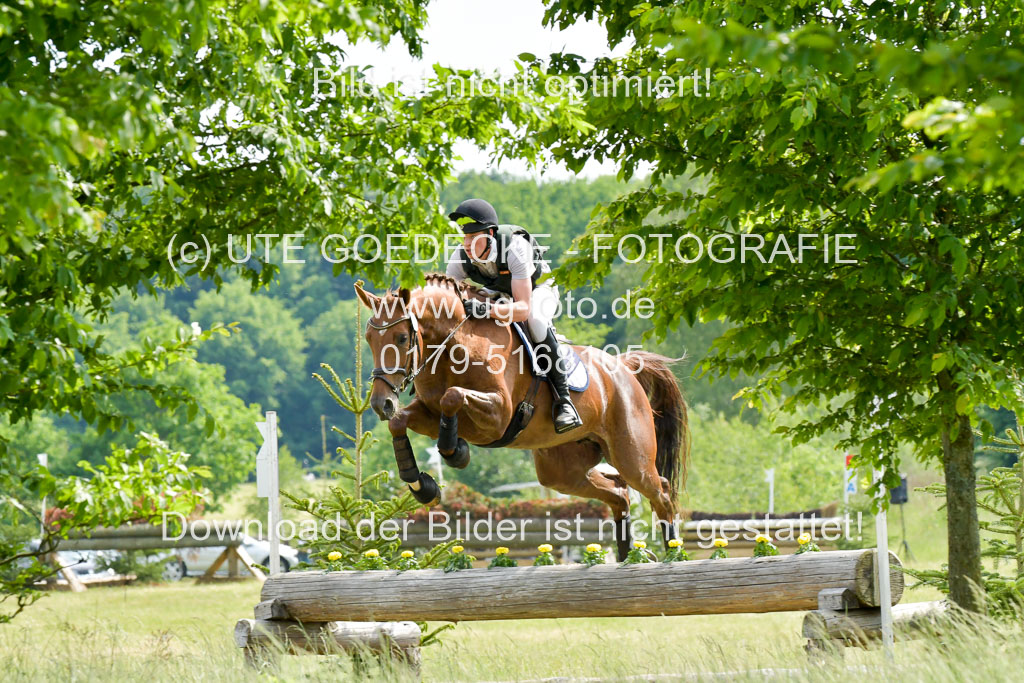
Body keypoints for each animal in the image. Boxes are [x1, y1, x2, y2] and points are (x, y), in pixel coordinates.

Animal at [356, 272, 692, 561]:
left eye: (402, 338)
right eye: (369, 339)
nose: (381, 404)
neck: (454, 344)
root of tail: (624, 367)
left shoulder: (498, 416)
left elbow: (454, 396)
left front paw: (455, 451)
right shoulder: (428, 412)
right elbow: (401, 422)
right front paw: (423, 486)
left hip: (631, 456)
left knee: (660, 491)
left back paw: (672, 553)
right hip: (562, 471)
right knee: (619, 495)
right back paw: (626, 557)